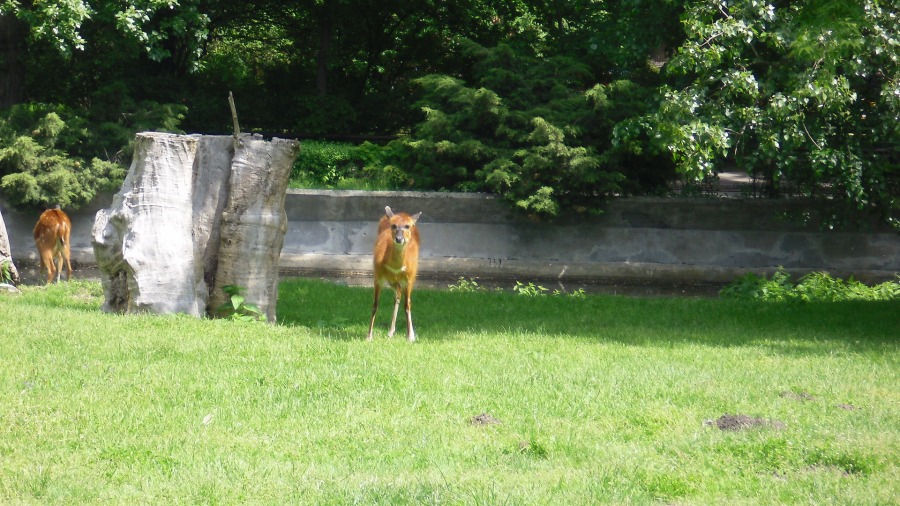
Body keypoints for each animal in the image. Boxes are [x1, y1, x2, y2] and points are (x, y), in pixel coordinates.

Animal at [366, 207, 422, 344]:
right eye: (393, 225)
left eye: (407, 226)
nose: (399, 239)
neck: (396, 266)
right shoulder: (378, 275)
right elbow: (375, 304)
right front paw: (369, 336)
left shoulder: (408, 277)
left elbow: (407, 306)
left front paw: (410, 336)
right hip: (392, 280)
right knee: (397, 295)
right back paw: (391, 331)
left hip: (409, 277)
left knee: (405, 299)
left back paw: (407, 333)